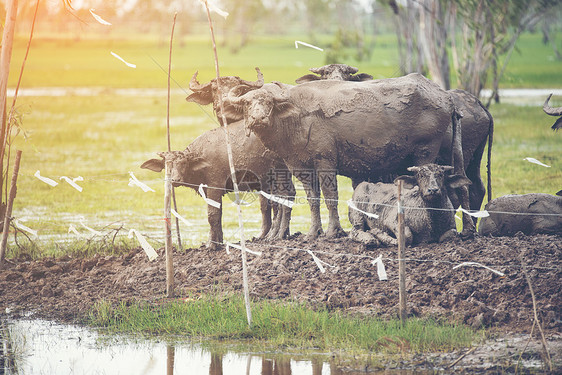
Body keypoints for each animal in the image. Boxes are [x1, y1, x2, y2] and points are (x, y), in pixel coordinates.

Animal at [139, 120, 294, 250]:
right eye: (167, 165)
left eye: (183, 164)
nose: (175, 179)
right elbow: (217, 214)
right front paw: (216, 241)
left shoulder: (215, 186)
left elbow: (212, 214)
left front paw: (212, 245)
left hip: (281, 170)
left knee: (285, 196)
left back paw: (277, 235)